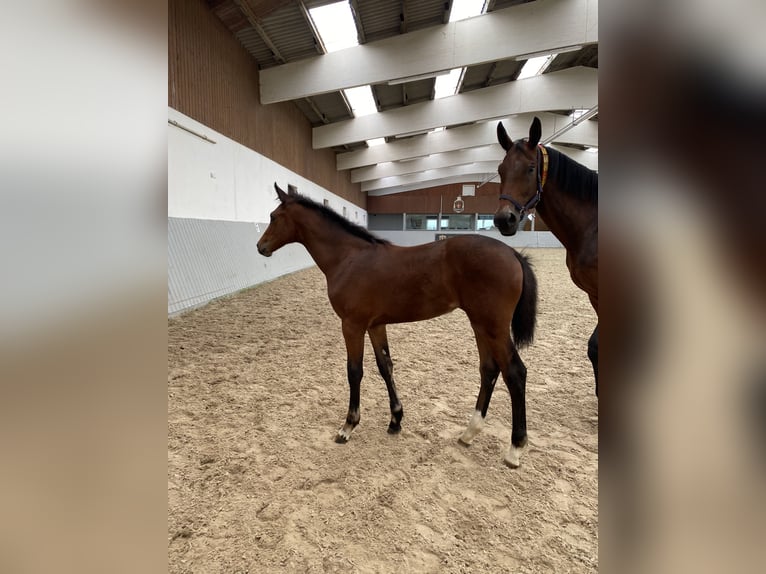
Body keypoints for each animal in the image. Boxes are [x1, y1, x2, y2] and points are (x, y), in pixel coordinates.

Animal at [260, 184, 544, 468]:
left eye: (273, 217)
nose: (260, 246)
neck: (349, 258)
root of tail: (512, 253)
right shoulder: (375, 325)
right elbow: (385, 366)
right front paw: (396, 419)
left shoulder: (352, 325)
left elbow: (354, 371)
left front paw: (349, 425)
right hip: (480, 324)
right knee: (489, 370)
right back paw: (469, 433)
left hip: (493, 327)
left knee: (515, 373)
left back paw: (515, 448)